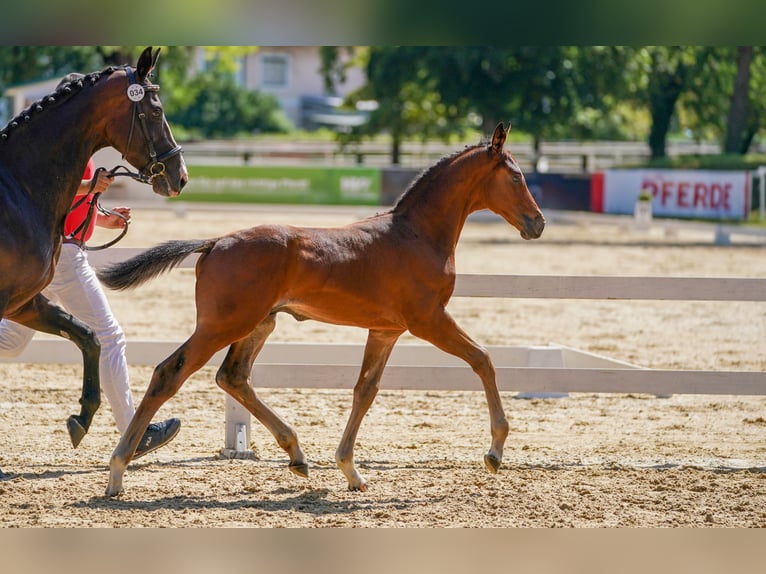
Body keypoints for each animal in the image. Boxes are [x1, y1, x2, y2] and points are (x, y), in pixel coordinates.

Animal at [0, 46, 190, 472]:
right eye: (155, 110)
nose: (180, 176)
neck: (17, 188)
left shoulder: (23, 301)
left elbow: (88, 336)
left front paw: (81, 418)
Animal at [99, 124, 544, 498]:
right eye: (516, 177)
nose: (537, 223)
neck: (416, 234)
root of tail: (214, 242)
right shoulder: (428, 320)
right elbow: (482, 359)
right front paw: (495, 451)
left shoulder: (386, 330)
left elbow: (365, 390)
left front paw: (350, 470)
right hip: (222, 325)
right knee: (168, 373)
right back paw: (117, 471)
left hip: (258, 323)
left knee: (233, 376)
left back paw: (297, 455)